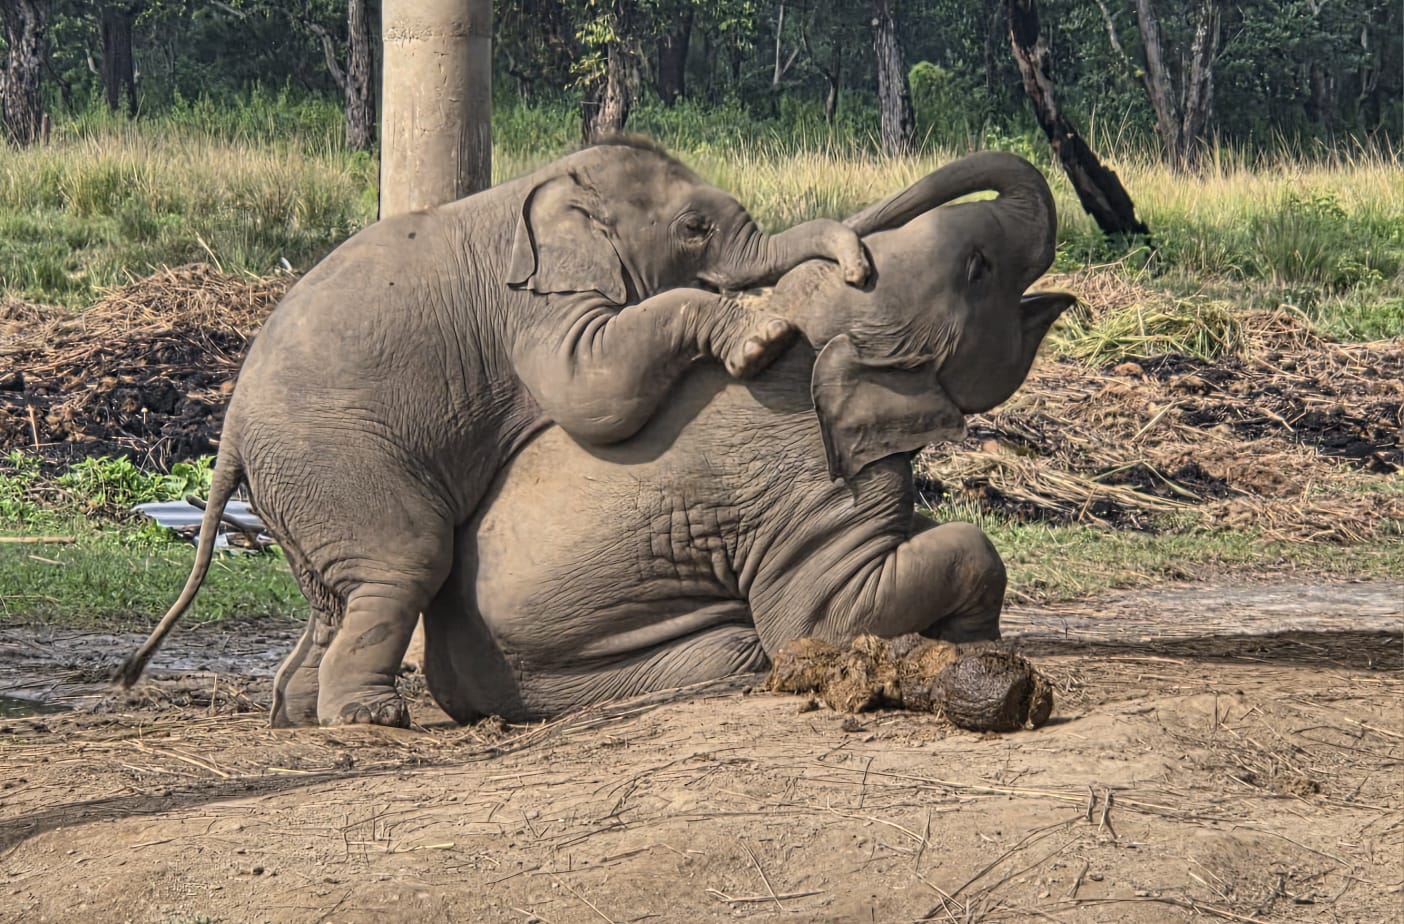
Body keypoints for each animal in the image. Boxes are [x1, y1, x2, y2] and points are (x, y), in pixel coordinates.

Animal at [117, 137, 872, 728]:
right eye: (694, 228)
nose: (861, 268)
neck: (555, 178)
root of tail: (230, 435)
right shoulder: (532, 310)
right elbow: (593, 390)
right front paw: (762, 340)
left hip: (300, 491)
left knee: (335, 598)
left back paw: (301, 713)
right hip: (335, 462)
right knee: (405, 560)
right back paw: (370, 715)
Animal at [420, 151, 1073, 722]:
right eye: (979, 268)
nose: (857, 260)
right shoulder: (807, 481)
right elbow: (828, 618)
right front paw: (975, 644)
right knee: (740, 648)